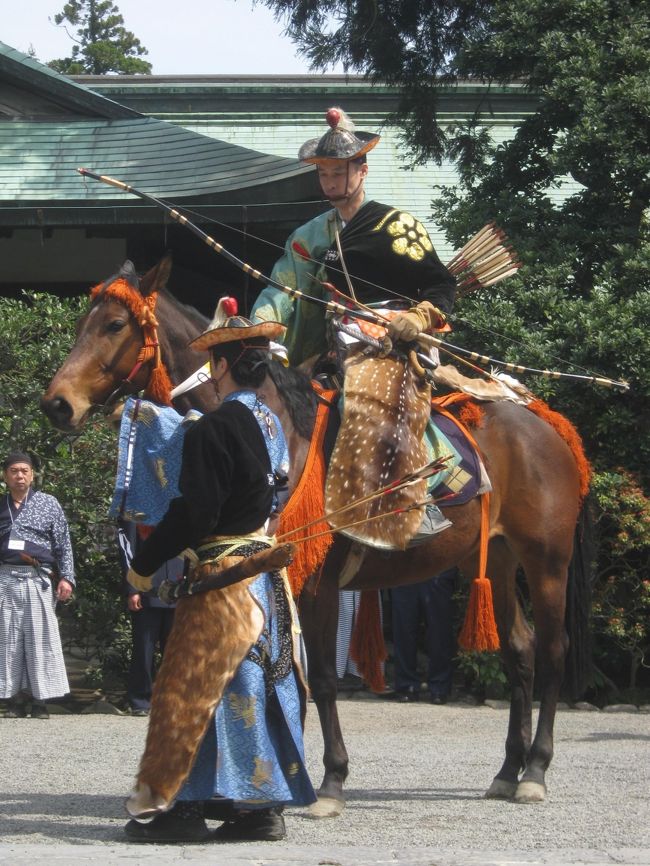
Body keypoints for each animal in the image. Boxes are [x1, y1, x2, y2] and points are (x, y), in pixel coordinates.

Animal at [39, 256, 588, 808]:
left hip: (547, 557)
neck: (277, 431)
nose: (57, 404)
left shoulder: (317, 580)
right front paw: (287, 772)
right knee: (519, 650)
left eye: (114, 325)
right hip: (497, 555)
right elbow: (288, 675)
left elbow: (321, 679)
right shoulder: (271, 574)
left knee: (554, 651)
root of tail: (546, 424)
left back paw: (535, 769)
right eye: (83, 322)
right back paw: (508, 769)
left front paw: (331, 780)